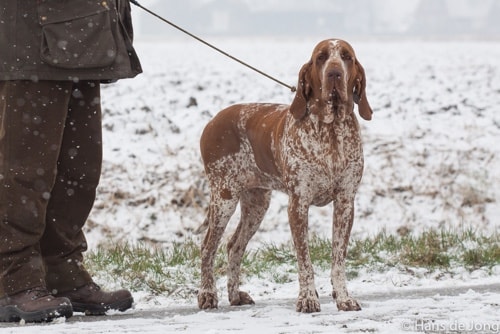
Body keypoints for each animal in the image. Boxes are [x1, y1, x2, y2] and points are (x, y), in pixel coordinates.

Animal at [197, 39, 374, 314]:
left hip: (257, 204)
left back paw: (235, 295)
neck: (331, 131)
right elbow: (304, 261)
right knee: (208, 247)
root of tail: (212, 122)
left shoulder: (345, 203)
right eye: (321, 57)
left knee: (234, 246)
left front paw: (344, 298)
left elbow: (338, 260)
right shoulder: (298, 205)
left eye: (346, 57)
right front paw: (308, 298)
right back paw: (207, 295)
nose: (334, 73)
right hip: (224, 198)